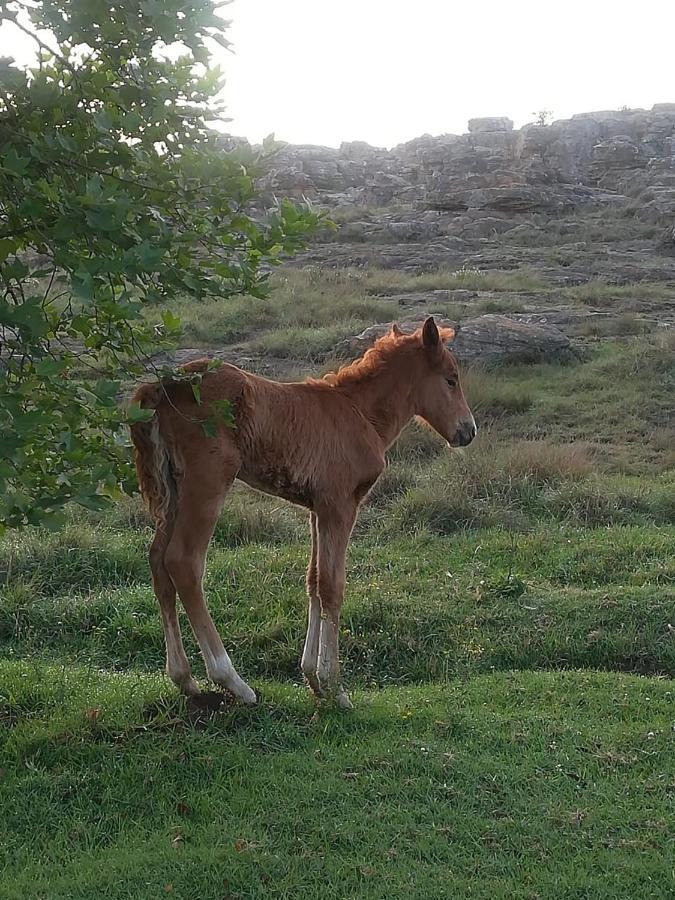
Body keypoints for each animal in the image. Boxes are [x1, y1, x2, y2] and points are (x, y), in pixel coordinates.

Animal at [131, 320, 476, 708]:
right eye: (451, 379)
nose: (468, 430)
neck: (359, 413)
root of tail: (161, 388)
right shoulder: (341, 506)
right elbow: (332, 585)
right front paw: (334, 686)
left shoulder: (318, 508)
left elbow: (313, 581)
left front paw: (312, 677)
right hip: (207, 483)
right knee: (183, 562)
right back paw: (232, 681)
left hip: (173, 490)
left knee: (158, 561)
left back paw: (184, 678)